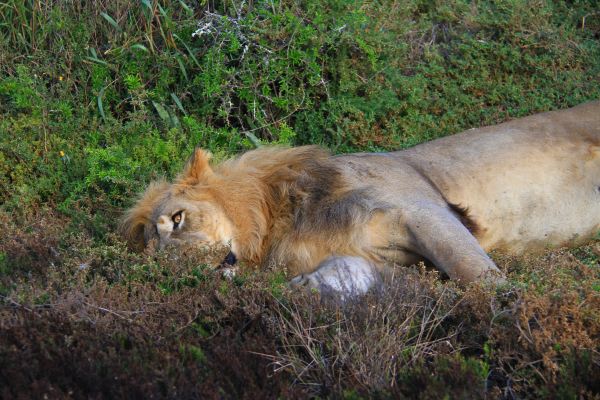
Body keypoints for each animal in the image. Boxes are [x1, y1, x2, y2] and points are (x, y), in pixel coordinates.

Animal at [123, 101, 600, 298]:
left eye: (178, 219)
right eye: (155, 255)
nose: (185, 271)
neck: (277, 222)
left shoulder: (423, 210)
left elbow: (473, 271)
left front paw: (509, 307)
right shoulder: (386, 262)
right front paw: (305, 289)